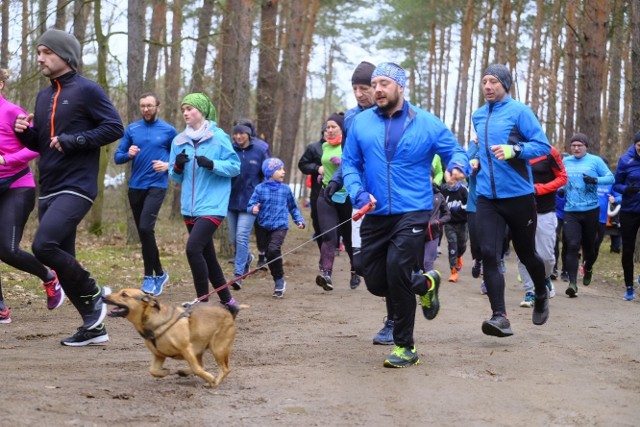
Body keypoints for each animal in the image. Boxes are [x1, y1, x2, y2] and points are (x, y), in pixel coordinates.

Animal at [104, 290, 236, 388]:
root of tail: (227, 311)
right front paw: (165, 372)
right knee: (202, 365)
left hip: (218, 348)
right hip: (201, 348)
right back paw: (184, 372)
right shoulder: (158, 354)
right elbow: (153, 370)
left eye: (124, 295)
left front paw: (210, 378)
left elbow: (197, 369)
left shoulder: (186, 348)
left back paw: (215, 382)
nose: (103, 296)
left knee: (225, 369)